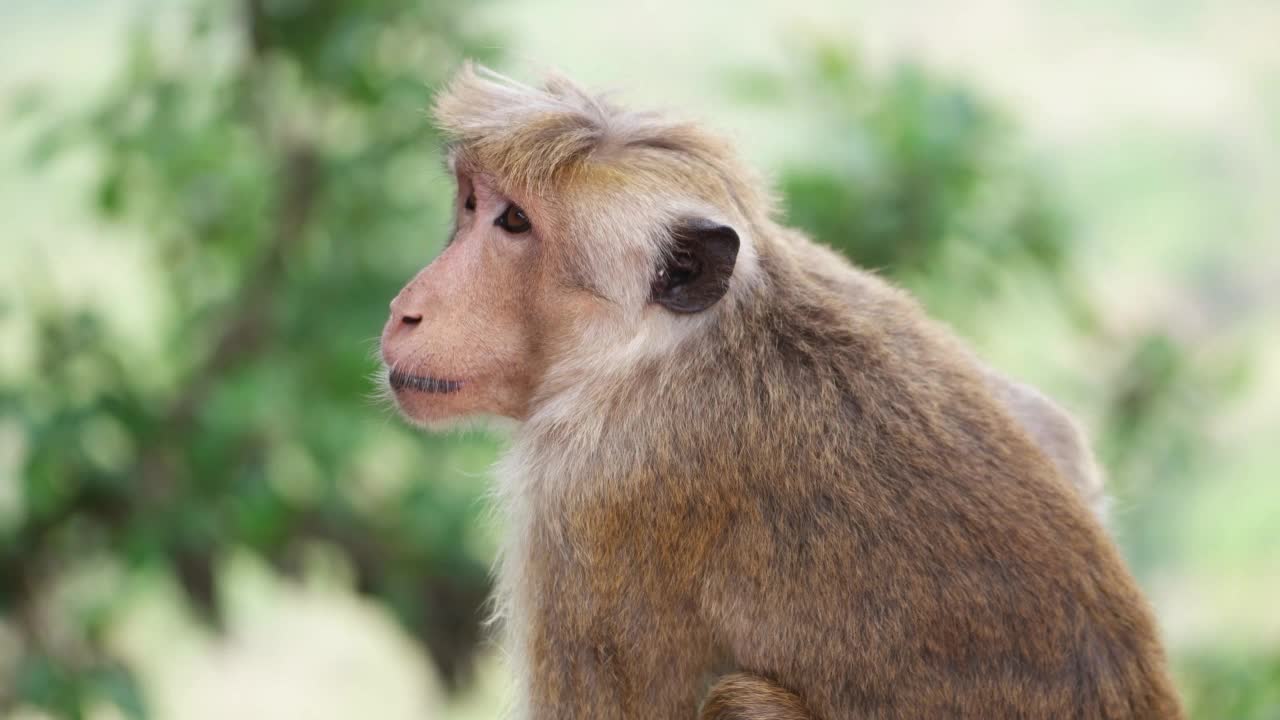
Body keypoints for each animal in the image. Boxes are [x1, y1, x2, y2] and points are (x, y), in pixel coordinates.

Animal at [378, 63, 1177, 717]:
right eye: (472, 204)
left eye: (515, 221)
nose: (404, 308)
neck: (670, 350)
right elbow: (1047, 429)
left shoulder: (589, 496)